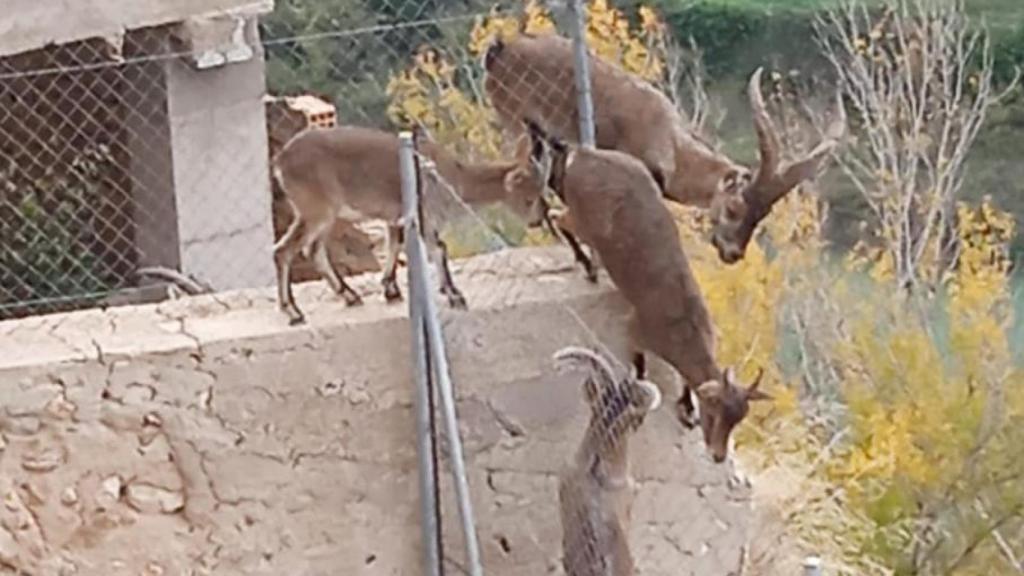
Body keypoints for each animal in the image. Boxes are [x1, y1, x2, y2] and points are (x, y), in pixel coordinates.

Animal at [272, 125, 548, 325]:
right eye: (529, 198)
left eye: (541, 191)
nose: (539, 219)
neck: (454, 179)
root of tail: (280, 161)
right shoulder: (424, 213)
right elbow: (439, 248)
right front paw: (455, 295)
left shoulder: (395, 216)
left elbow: (395, 244)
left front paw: (391, 290)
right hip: (315, 209)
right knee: (283, 250)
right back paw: (294, 312)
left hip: (325, 214)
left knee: (313, 250)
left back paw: (350, 295)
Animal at [483, 32, 845, 268]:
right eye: (733, 209)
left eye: (763, 214)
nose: (732, 254)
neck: (669, 143)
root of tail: (499, 52)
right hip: (515, 122)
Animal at [530, 122, 771, 462]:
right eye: (714, 409)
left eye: (739, 417)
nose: (718, 454)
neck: (684, 330)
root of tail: (581, 154)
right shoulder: (637, 331)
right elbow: (640, 365)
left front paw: (686, 410)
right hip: (580, 217)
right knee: (557, 217)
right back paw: (588, 266)